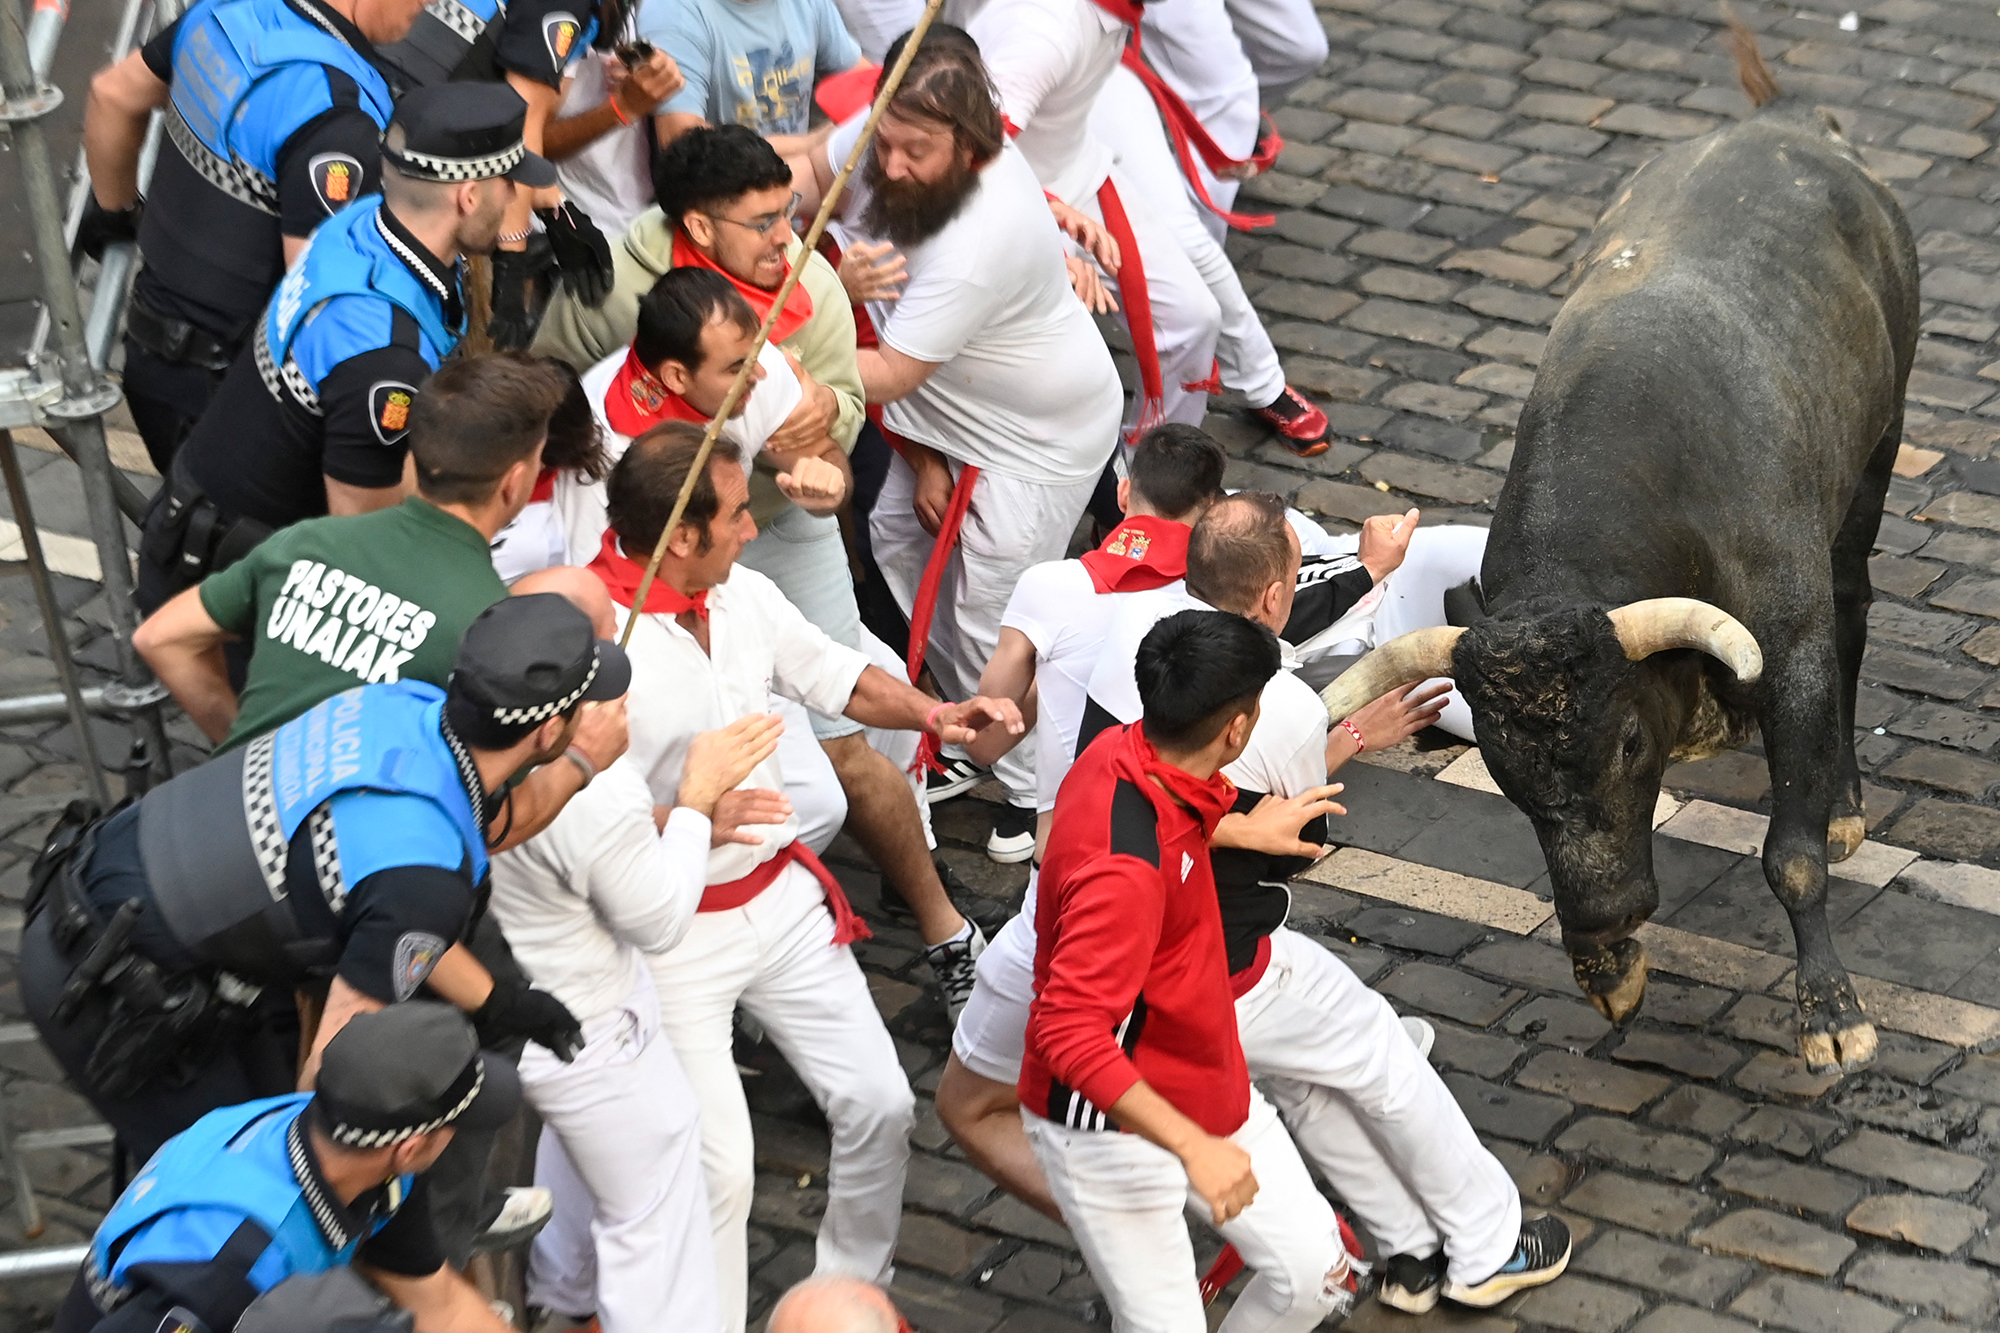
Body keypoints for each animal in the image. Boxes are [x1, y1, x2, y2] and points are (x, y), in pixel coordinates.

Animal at [1320, 28, 1912, 1072]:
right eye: (1504, 770)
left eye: (1631, 740)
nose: (1605, 914)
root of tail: (1789, 120)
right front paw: (1612, 972)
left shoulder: (1790, 646)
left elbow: (1791, 856)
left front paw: (1832, 1011)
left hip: (1877, 457)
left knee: (1854, 606)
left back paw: (1844, 798)